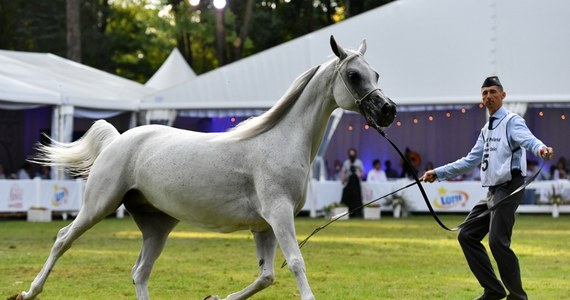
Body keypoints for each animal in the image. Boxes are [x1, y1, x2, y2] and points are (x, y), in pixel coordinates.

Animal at [16, 37, 390, 300]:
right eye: (353, 75)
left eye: (376, 73)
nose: (388, 110)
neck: (278, 140)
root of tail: (117, 140)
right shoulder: (279, 215)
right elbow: (296, 263)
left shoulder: (264, 227)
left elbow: (265, 276)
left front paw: (216, 297)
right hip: (98, 206)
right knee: (63, 239)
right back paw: (29, 291)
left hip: (157, 225)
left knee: (140, 272)